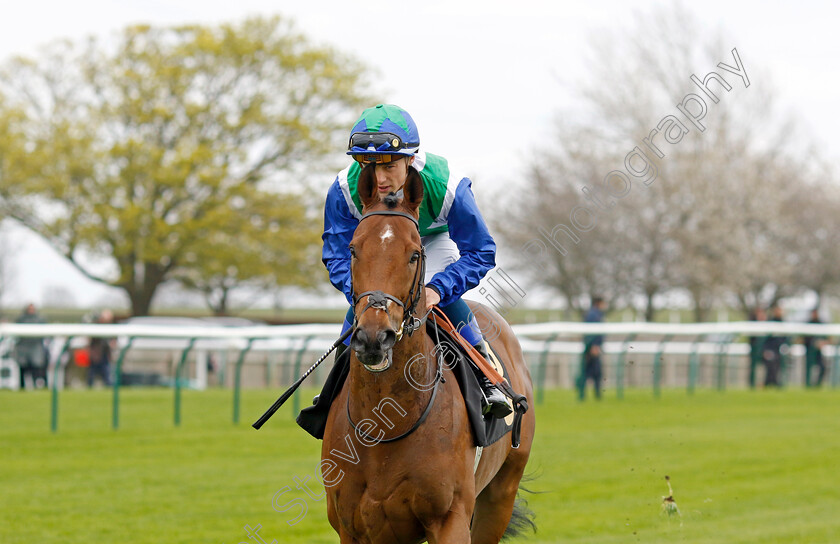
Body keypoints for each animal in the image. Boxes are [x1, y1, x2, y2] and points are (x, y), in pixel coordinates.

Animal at [318, 166, 536, 544]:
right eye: (353, 250)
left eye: (414, 254)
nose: (374, 337)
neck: (386, 422)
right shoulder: (352, 526)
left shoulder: (450, 519)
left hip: (500, 493)